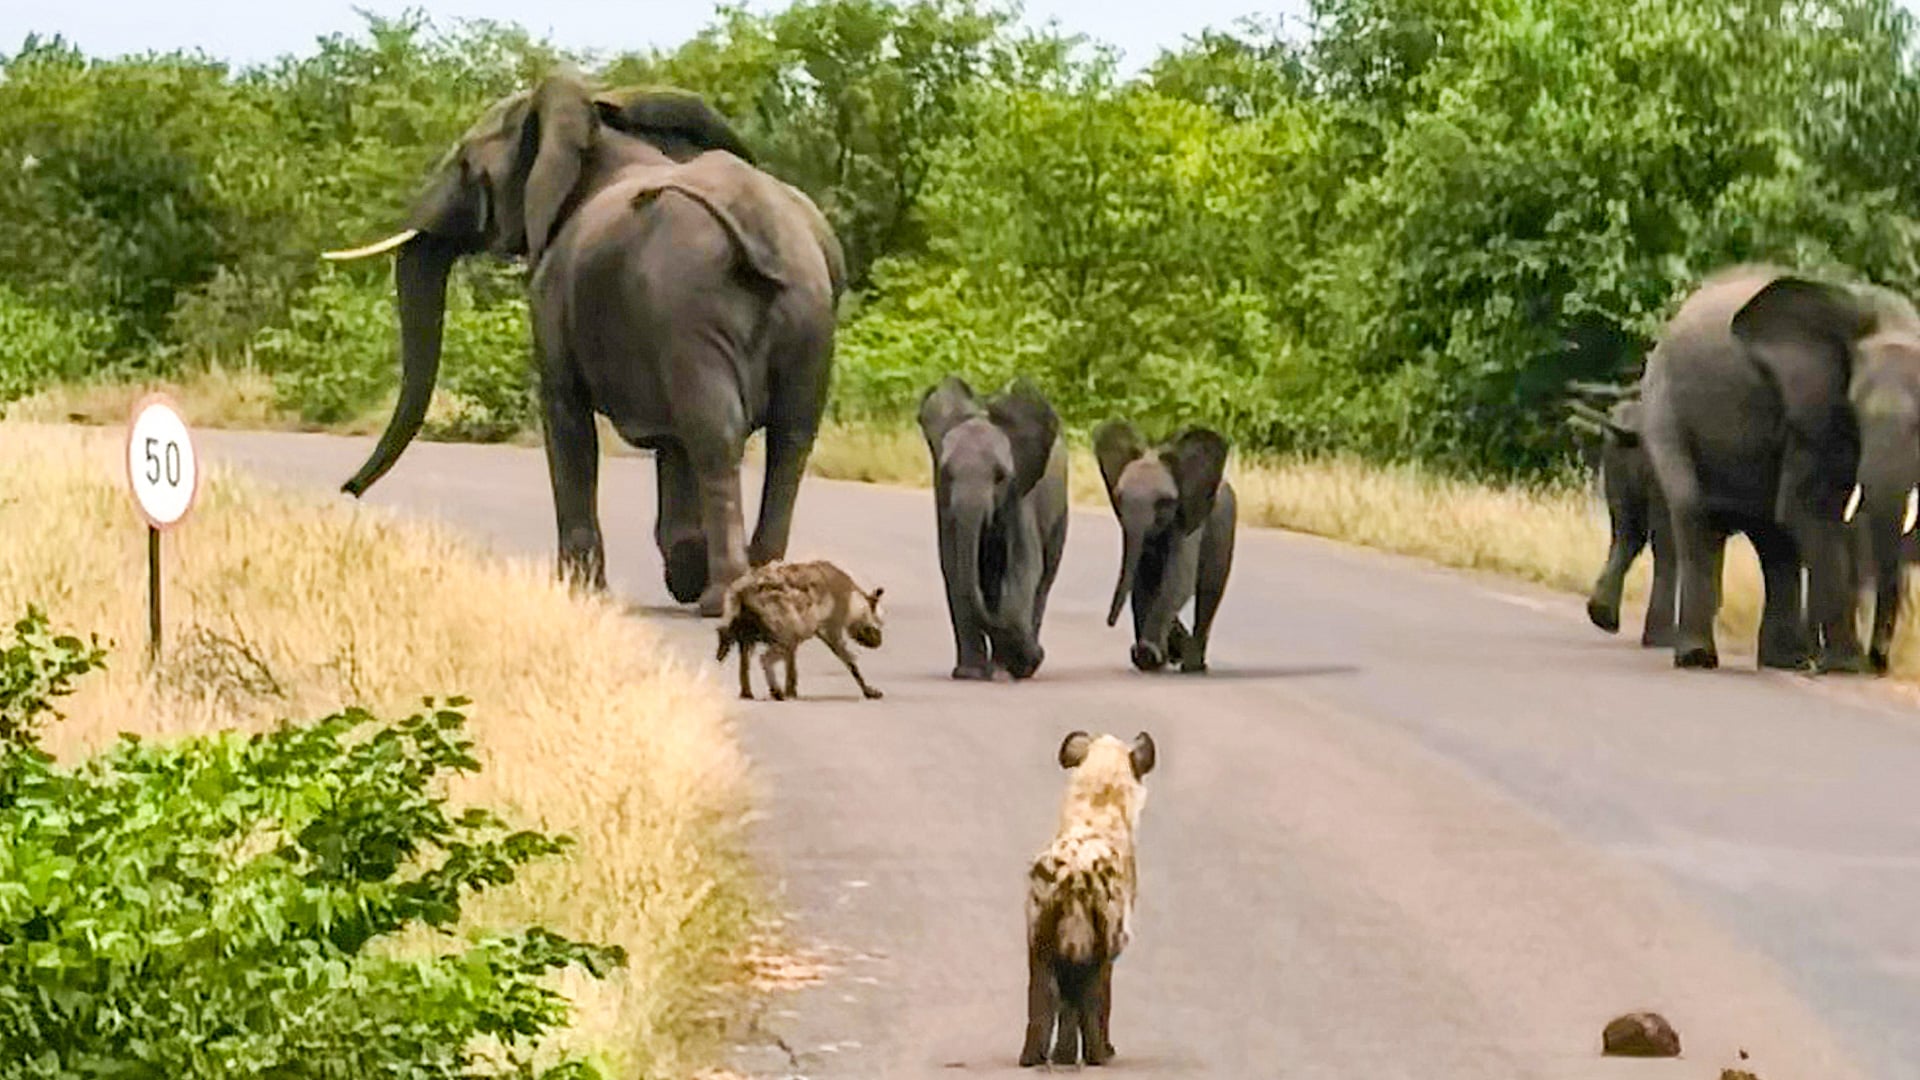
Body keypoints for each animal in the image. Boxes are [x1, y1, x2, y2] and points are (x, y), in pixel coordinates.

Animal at [322, 71, 845, 616]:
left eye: (465, 163)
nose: (346, 491)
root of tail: (762, 227)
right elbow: (670, 442)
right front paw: (682, 569)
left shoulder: (554, 297)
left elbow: (566, 417)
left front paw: (582, 590)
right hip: (808, 317)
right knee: (791, 440)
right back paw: (762, 589)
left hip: (696, 307)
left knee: (716, 436)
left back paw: (720, 599)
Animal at [917, 376, 1068, 681]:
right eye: (946, 474)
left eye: (1000, 476)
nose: (1039, 655)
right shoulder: (944, 505)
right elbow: (954, 569)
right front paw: (969, 674)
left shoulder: (1021, 497)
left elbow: (1022, 570)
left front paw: (1004, 672)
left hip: (1060, 513)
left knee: (1043, 580)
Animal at [1093, 422, 1237, 673]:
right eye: (1118, 497)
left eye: (1164, 502)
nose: (1109, 623)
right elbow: (1142, 580)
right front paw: (1151, 658)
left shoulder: (1188, 523)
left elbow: (1179, 580)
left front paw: (1148, 656)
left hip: (1225, 526)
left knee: (1210, 591)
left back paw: (1193, 665)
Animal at [1640, 265, 1920, 672]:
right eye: (1854, 406)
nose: (1879, 662)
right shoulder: (1813, 408)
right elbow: (1809, 510)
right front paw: (1848, 666)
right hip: (1664, 409)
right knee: (1695, 515)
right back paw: (1697, 657)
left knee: (1773, 539)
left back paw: (1786, 662)